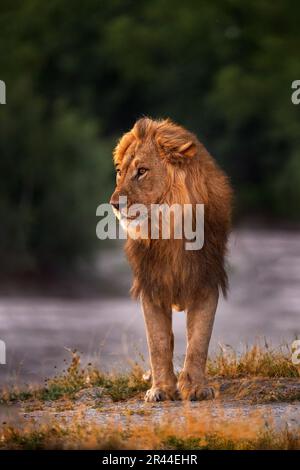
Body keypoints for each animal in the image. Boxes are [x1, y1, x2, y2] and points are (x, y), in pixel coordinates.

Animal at [110, 116, 232, 400]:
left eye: (142, 171)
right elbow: (158, 342)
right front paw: (161, 389)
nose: (114, 204)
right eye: (120, 171)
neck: (169, 229)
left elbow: (199, 340)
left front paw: (196, 387)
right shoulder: (151, 286)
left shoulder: (206, 282)